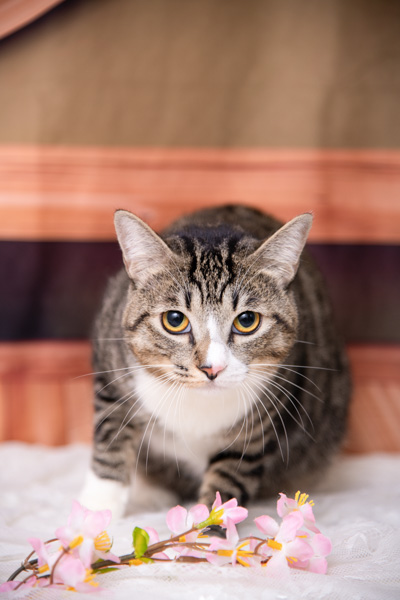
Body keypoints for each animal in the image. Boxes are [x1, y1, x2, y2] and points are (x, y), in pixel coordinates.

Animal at [80, 205, 350, 519]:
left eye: (247, 320)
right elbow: (110, 435)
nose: (212, 368)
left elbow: (229, 478)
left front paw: (207, 525)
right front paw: (96, 510)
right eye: (174, 320)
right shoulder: (111, 369)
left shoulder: (258, 427)